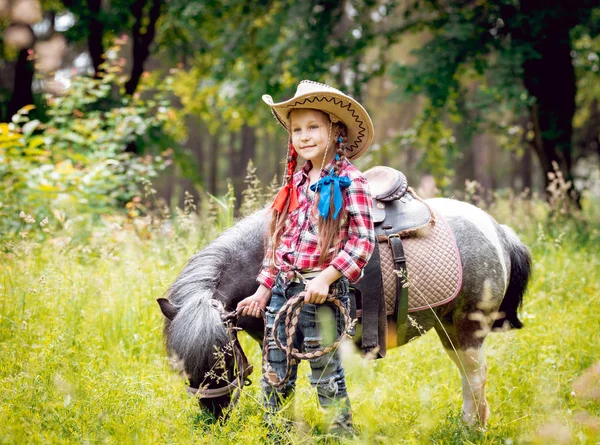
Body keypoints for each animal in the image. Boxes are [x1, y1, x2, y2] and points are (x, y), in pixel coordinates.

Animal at [158, 197, 528, 424]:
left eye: (221, 358)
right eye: (180, 361)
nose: (211, 414)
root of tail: (499, 231)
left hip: (468, 329)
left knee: (475, 377)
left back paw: (470, 427)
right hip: (449, 330)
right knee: (468, 376)